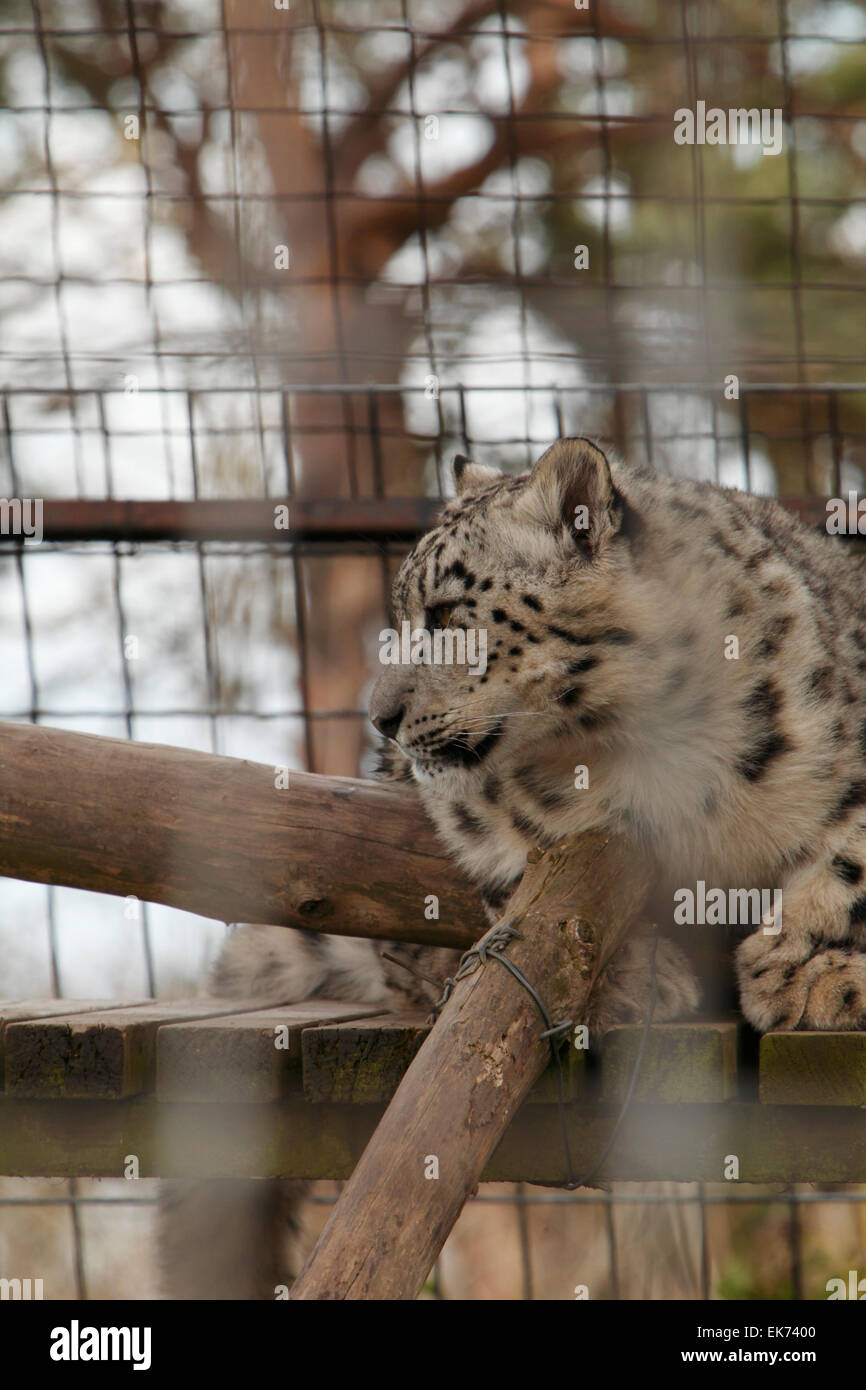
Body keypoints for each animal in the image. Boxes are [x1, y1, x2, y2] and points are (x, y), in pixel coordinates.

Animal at [162, 439, 866, 1295]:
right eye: (403, 617)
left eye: (445, 615)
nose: (380, 718)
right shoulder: (486, 817)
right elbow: (514, 881)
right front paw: (632, 975)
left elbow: (850, 849)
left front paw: (809, 971)